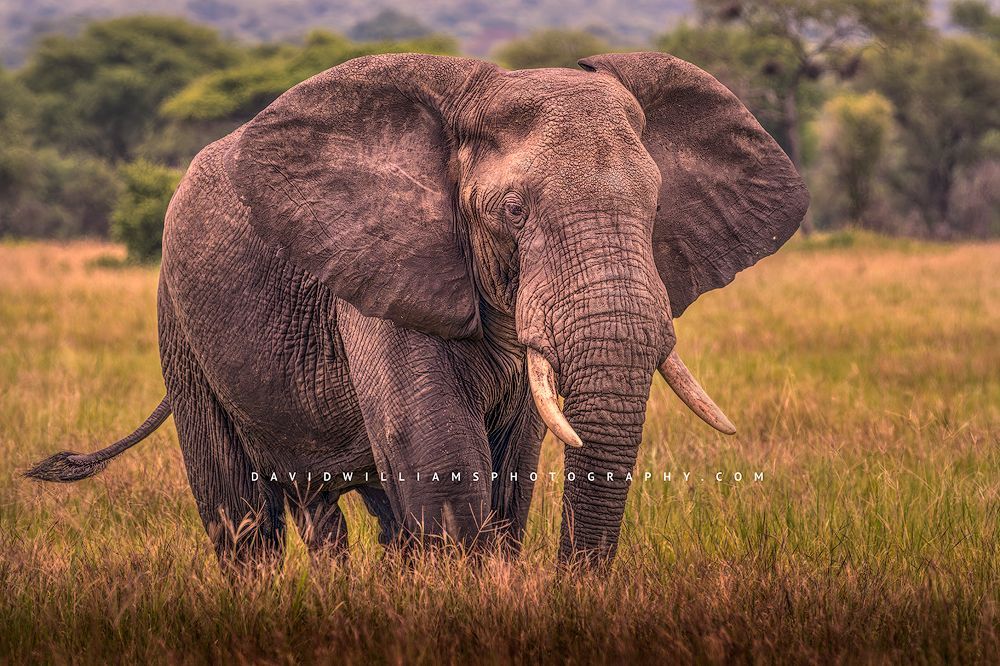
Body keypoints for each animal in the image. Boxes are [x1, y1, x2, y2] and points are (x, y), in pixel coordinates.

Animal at [27, 52, 808, 568]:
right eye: (513, 211)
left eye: (654, 209)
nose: (571, 585)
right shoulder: (376, 265)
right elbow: (439, 458)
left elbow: (508, 472)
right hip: (179, 320)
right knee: (242, 518)